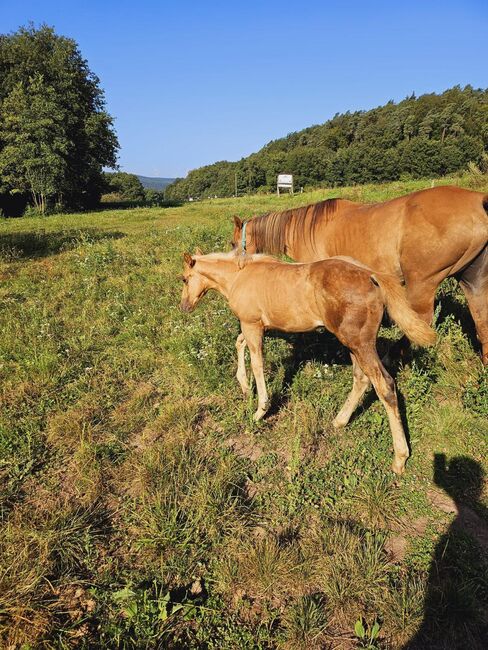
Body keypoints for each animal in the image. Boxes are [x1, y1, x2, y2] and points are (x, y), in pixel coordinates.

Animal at [178, 249, 434, 470]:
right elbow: (239, 343)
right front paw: (244, 385)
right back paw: (339, 421)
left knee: (385, 385)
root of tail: (371, 275)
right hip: (353, 343)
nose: (184, 306)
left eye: (184, 279)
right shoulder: (256, 326)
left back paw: (399, 458)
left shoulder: (251, 324)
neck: (240, 276)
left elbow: (257, 363)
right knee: (361, 379)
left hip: (359, 343)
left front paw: (261, 410)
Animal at [232, 185, 488, 362]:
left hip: (422, 282)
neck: (307, 229)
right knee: (481, 321)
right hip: (472, 281)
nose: (236, 267)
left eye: (234, 243)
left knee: (419, 322)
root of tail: (478, 201)